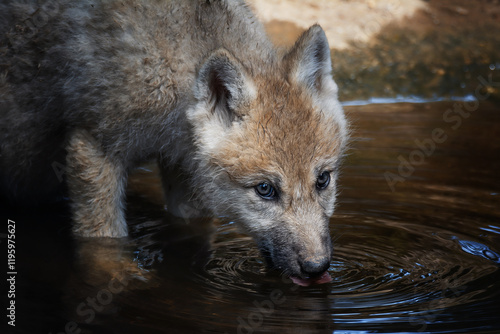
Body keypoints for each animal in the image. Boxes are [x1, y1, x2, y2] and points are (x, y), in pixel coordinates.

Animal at [0, 0, 348, 280]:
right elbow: (104, 244)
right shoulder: (94, 147)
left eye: (323, 180)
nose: (317, 267)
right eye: (265, 190)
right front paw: (120, 276)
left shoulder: (182, 168)